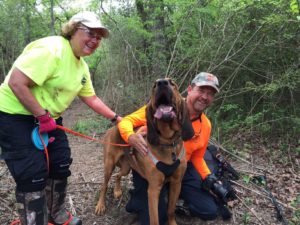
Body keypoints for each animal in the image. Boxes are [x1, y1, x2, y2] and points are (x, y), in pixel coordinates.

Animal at [95, 78, 195, 225]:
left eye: (172, 83)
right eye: (154, 85)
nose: (162, 82)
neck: (167, 142)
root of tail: (113, 127)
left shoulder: (177, 183)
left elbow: (170, 211)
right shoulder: (153, 189)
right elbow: (154, 219)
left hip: (126, 167)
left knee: (118, 175)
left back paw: (117, 191)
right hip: (109, 165)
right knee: (104, 185)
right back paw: (100, 205)